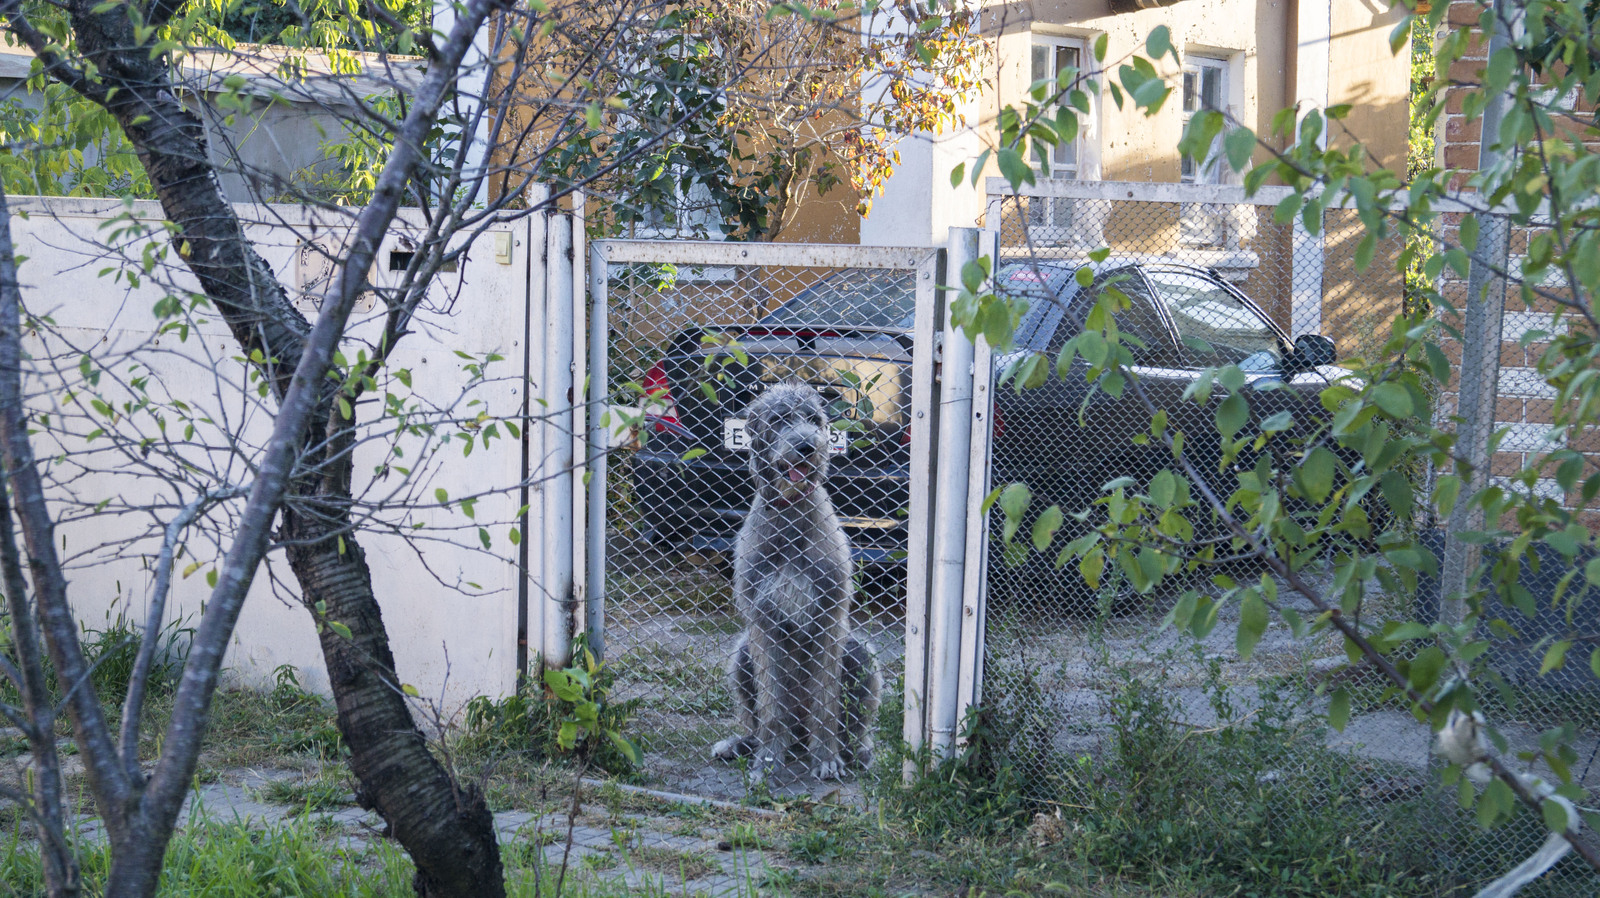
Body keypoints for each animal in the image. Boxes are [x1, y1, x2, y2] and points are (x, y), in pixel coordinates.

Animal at [713, 377, 883, 777]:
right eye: (779, 419)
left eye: (814, 419)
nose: (807, 446)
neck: (791, 516)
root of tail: (800, 736)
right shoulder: (762, 620)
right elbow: (771, 703)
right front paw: (768, 761)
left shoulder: (830, 619)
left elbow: (826, 698)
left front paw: (827, 759)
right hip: (742, 654)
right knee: (762, 715)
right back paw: (747, 743)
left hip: (859, 653)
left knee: (854, 721)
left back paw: (854, 752)